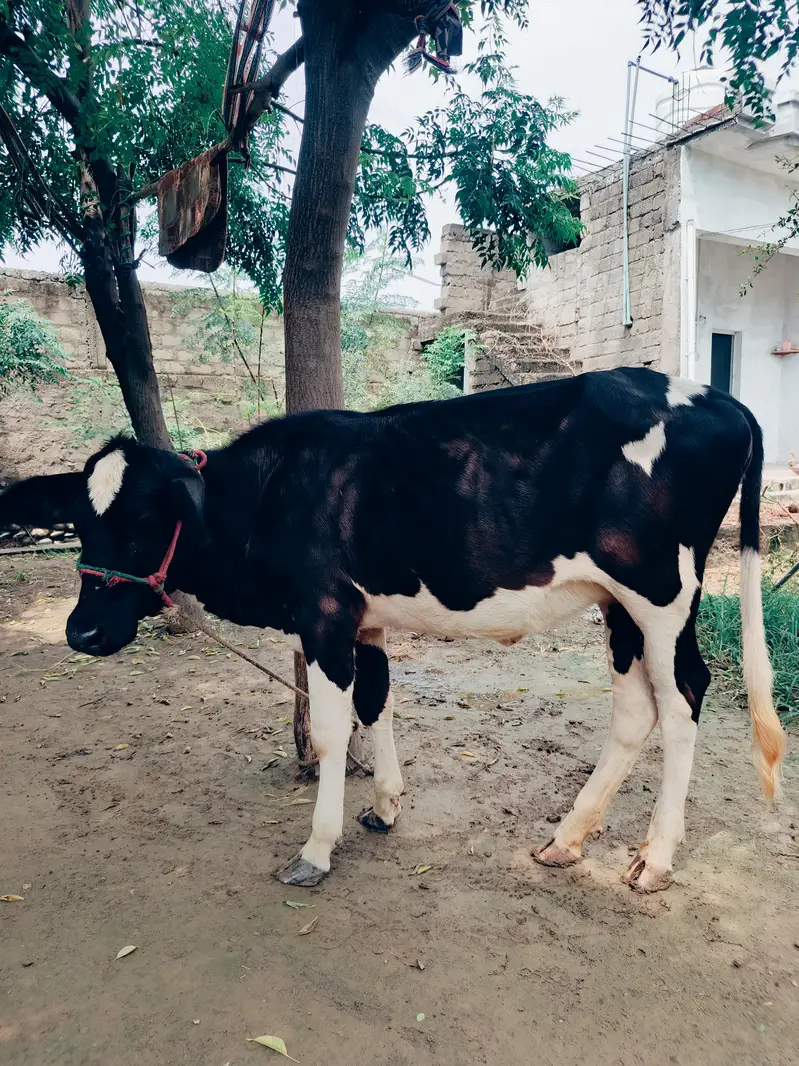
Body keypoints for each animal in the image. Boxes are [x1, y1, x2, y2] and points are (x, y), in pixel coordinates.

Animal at [0, 368, 786, 892]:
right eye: (80, 522)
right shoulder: (364, 620)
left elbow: (329, 731)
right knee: (634, 711)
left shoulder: (322, 614)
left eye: (144, 519)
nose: (82, 633)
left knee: (685, 700)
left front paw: (316, 849)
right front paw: (383, 807)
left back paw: (655, 859)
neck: (268, 495)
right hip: (616, 602)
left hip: (662, 593)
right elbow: (375, 702)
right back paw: (566, 839)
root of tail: (711, 394)